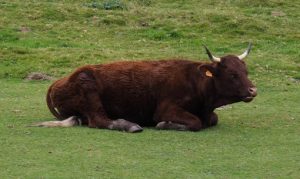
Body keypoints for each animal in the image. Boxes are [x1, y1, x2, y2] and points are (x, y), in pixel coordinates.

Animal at [34, 44, 256, 132]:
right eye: (232, 74)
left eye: (245, 70)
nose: (253, 90)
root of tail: (60, 80)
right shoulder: (166, 109)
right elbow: (196, 123)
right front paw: (166, 125)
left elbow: (212, 119)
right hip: (89, 92)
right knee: (99, 120)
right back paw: (129, 125)